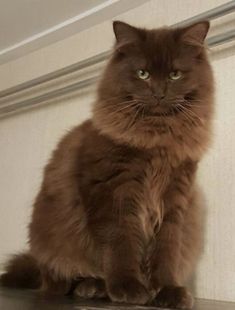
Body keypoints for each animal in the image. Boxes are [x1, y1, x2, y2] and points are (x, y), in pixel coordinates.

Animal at [0, 20, 214, 308]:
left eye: (175, 75)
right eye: (143, 73)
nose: (159, 94)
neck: (156, 140)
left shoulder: (175, 199)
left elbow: (167, 250)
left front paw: (167, 291)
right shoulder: (113, 192)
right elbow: (120, 243)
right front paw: (128, 288)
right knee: (64, 281)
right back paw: (93, 288)